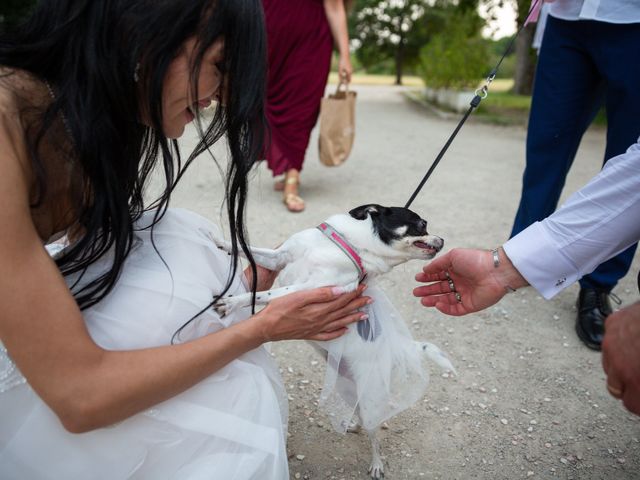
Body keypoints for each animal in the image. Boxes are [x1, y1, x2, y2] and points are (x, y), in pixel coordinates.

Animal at [212, 204, 452, 478]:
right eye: (422, 225)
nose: (442, 240)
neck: (353, 246)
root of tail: (395, 349)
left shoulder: (307, 289)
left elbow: (263, 294)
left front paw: (232, 303)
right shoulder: (279, 257)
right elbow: (251, 251)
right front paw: (220, 242)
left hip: (371, 397)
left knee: (375, 433)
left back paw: (376, 463)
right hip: (347, 389)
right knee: (361, 417)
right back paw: (353, 425)